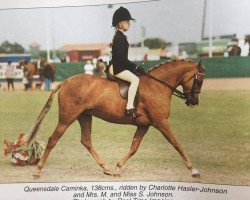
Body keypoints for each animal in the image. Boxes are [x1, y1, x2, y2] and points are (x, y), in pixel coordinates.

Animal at [24, 59, 205, 178]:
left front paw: (118, 168)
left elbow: (134, 148)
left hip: (84, 117)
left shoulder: (144, 125)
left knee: (86, 140)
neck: (157, 86)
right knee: (53, 140)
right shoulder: (161, 123)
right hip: (67, 118)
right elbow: (177, 144)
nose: (194, 102)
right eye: (199, 80)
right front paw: (193, 170)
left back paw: (105, 168)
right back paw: (38, 170)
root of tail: (64, 82)